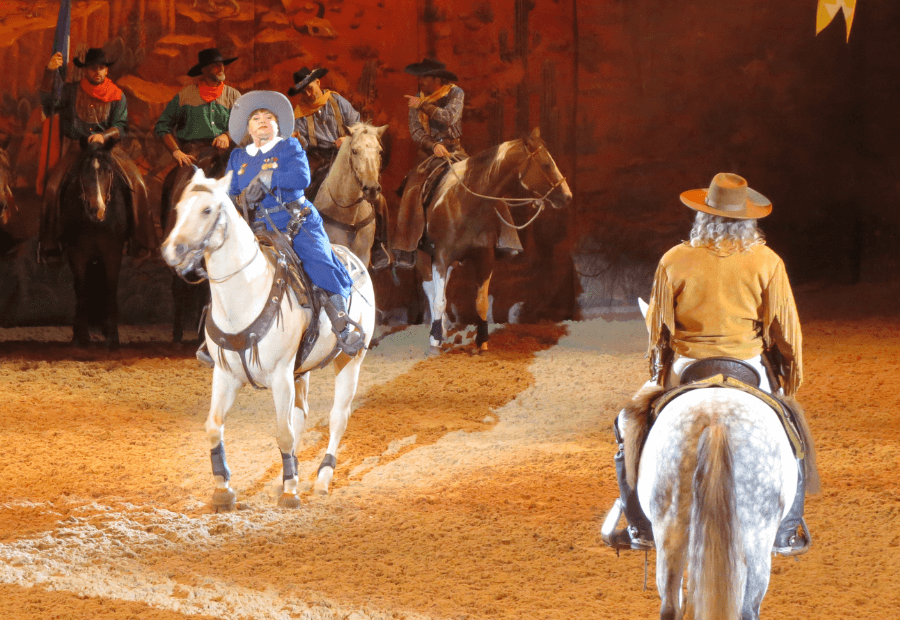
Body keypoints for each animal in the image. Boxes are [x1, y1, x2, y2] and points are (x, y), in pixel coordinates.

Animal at [163, 167, 376, 506]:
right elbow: (214, 426)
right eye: (179, 209)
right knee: (301, 415)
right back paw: (285, 477)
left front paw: (290, 493)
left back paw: (321, 479)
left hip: (349, 359)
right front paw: (222, 489)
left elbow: (284, 432)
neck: (244, 296)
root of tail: (352, 259)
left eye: (207, 210)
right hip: (301, 370)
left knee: (337, 417)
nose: (174, 250)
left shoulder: (279, 374)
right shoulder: (226, 375)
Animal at [420, 127, 568, 354]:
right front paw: (434, 340)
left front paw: (482, 340)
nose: (567, 196)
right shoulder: (441, 256)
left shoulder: (485, 257)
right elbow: (438, 299)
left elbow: (481, 301)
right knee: (431, 290)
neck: (465, 203)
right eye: (546, 164)